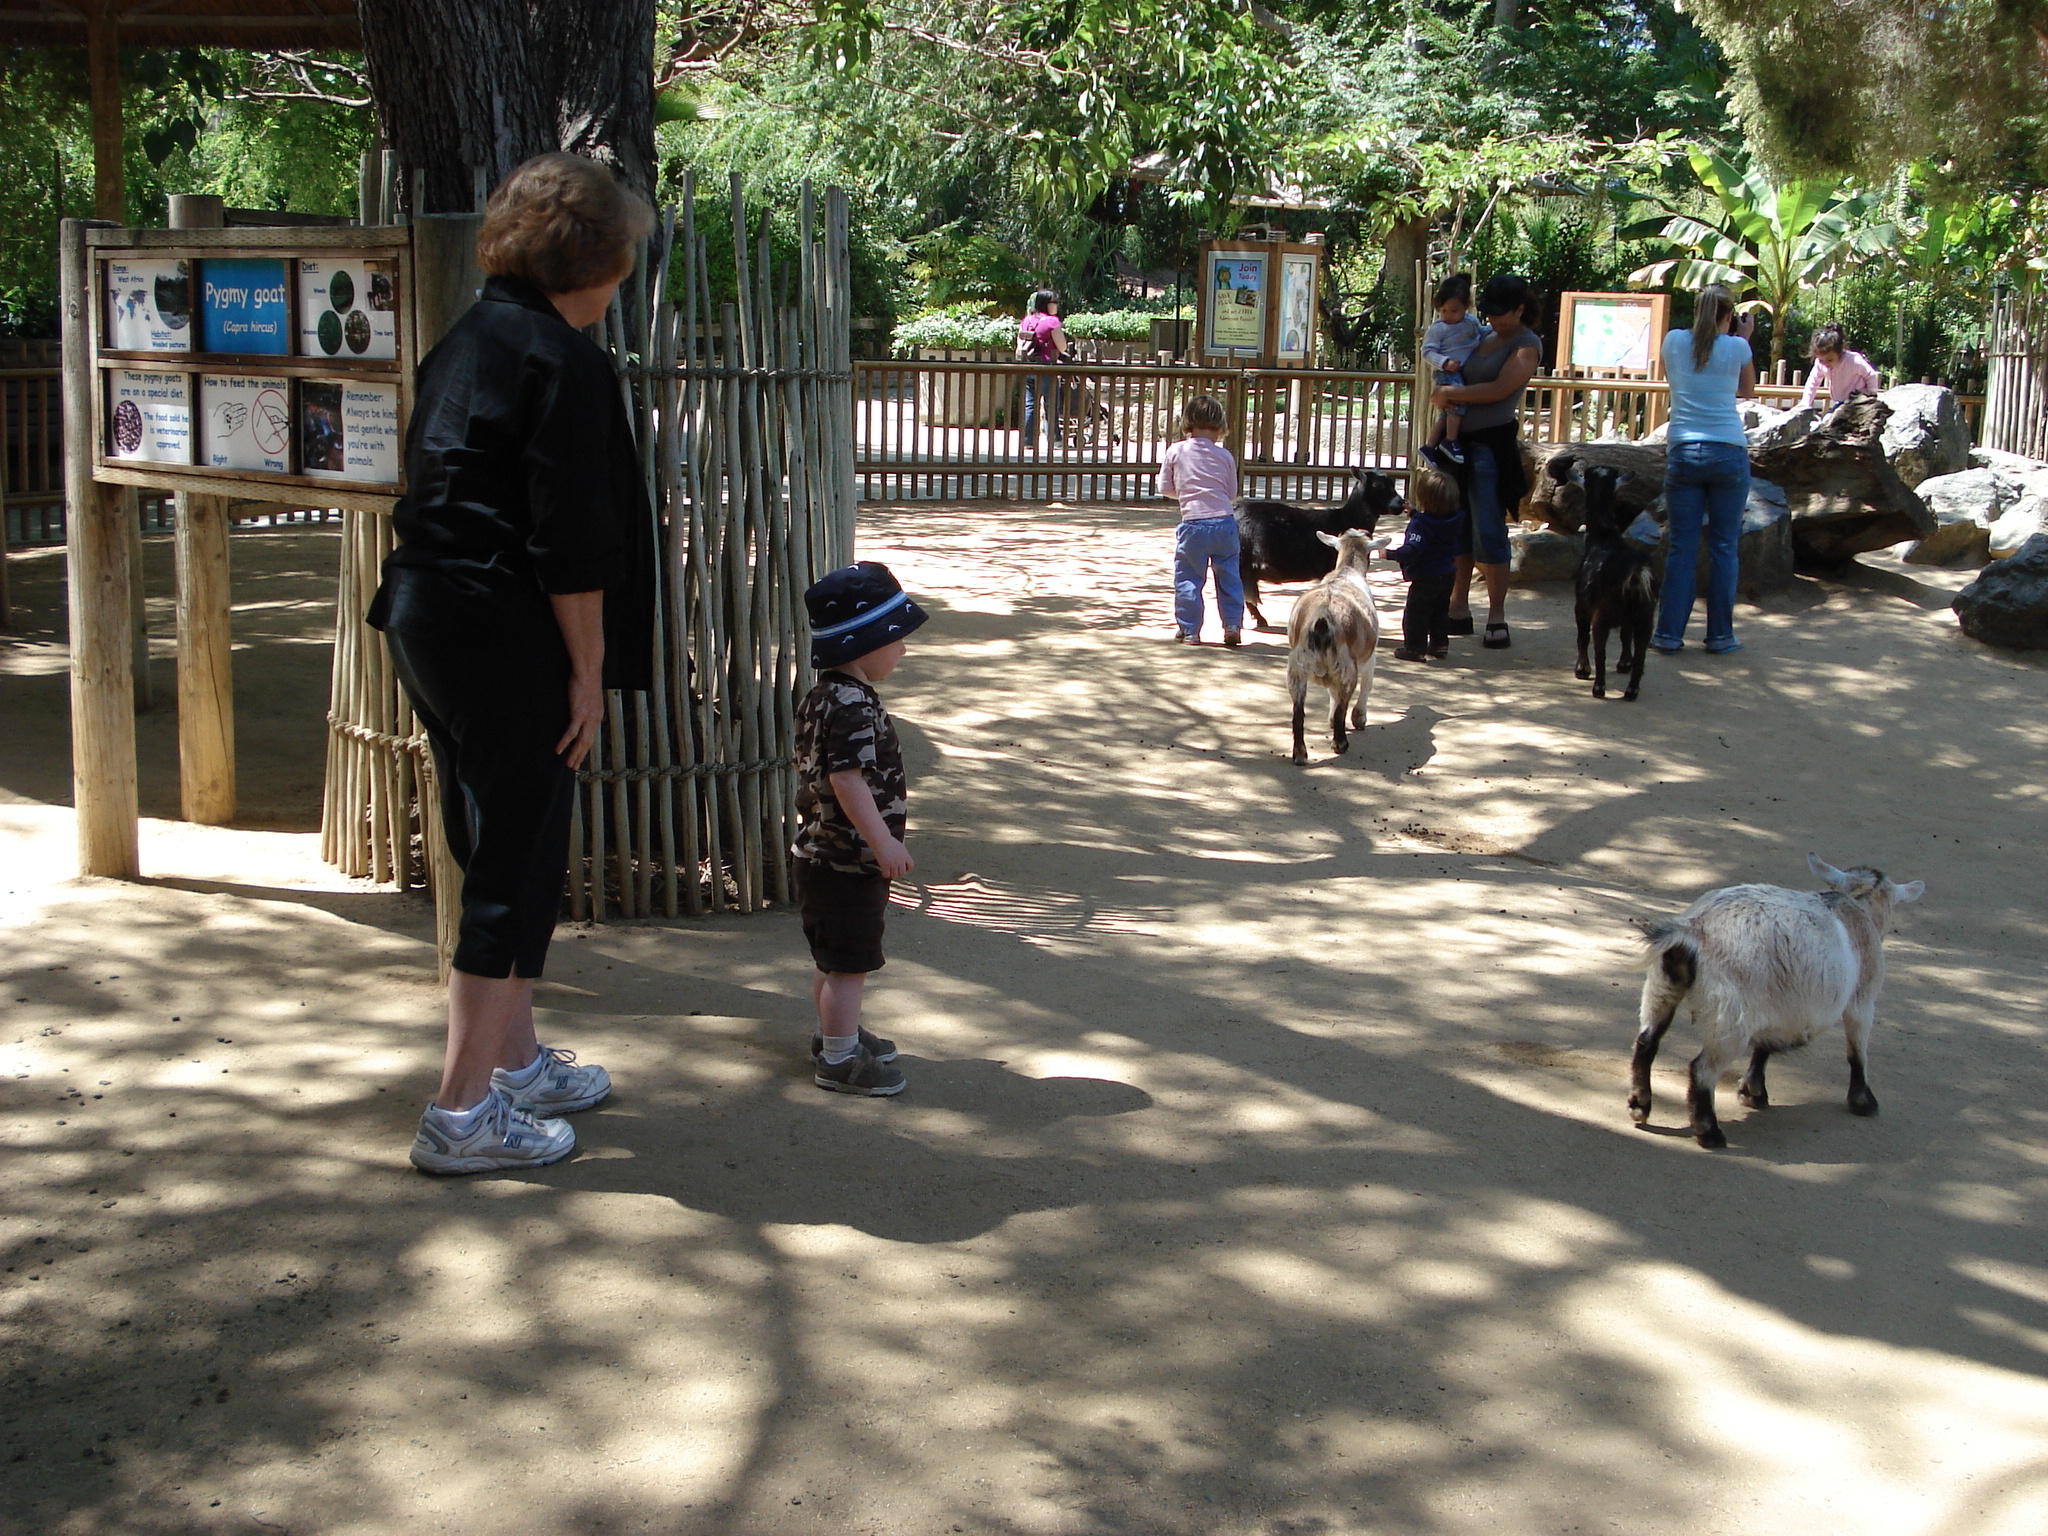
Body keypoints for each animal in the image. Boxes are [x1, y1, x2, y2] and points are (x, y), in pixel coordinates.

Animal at [1287, 529, 1393, 763]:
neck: (1347, 571)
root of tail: (1322, 619)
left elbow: (1332, 693)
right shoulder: (1369, 657)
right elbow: (1367, 684)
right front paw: (1360, 718)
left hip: (1297, 667)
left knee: (1298, 710)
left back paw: (1300, 753)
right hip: (1346, 667)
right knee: (1343, 703)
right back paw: (1340, 743)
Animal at [1572, 463, 1657, 700]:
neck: (1604, 537)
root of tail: (1636, 573)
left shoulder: (1581, 605)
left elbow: (1582, 635)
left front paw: (1582, 669)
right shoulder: (1628, 619)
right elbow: (1625, 635)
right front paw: (1624, 663)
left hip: (1603, 613)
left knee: (1599, 648)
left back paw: (1599, 688)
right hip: (1646, 614)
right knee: (1641, 650)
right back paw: (1632, 690)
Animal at [1630, 854, 1925, 1148]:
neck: (1855, 904)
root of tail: (1694, 928)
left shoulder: (1781, 1007)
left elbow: (1765, 1045)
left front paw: (1752, 1092)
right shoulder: (1862, 997)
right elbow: (1857, 1050)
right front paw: (1863, 1102)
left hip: (1662, 986)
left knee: (1647, 1041)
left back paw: (1639, 1105)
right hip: (1731, 1016)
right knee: (1702, 1069)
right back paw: (1708, 1131)